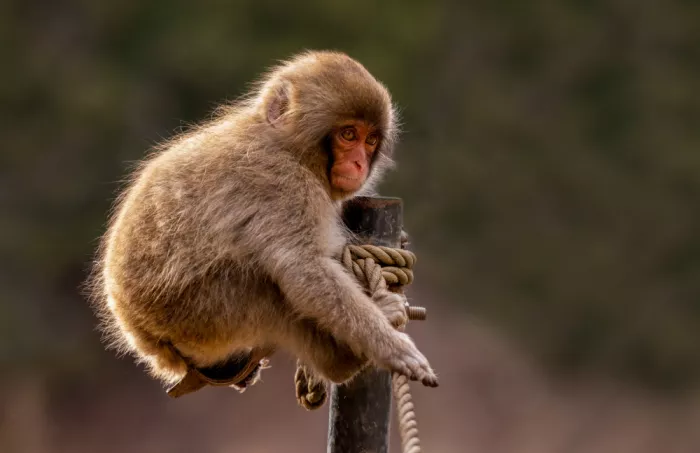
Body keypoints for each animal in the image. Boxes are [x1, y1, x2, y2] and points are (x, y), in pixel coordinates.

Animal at [89, 51, 438, 397]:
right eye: (349, 134)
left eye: (371, 140)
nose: (358, 163)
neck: (291, 149)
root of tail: (141, 337)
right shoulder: (283, 182)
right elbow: (305, 270)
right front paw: (392, 349)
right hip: (198, 317)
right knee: (268, 286)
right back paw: (341, 362)